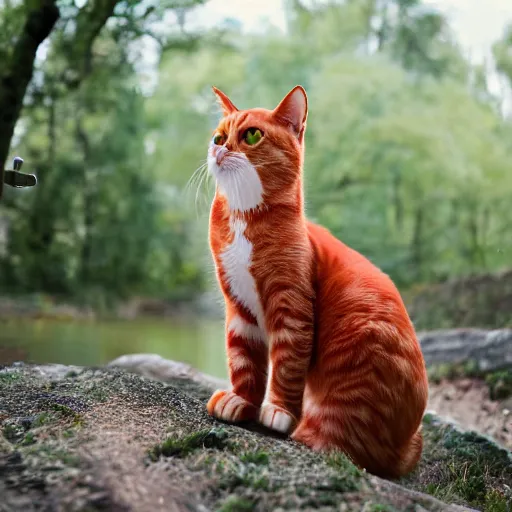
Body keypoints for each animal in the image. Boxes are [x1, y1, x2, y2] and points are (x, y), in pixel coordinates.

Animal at [204, 86, 428, 478]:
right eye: (218, 137)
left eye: (251, 135)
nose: (219, 149)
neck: (245, 217)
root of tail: (406, 447)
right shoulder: (239, 306)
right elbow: (244, 360)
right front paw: (241, 401)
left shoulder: (292, 306)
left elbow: (287, 365)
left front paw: (278, 411)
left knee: (342, 443)